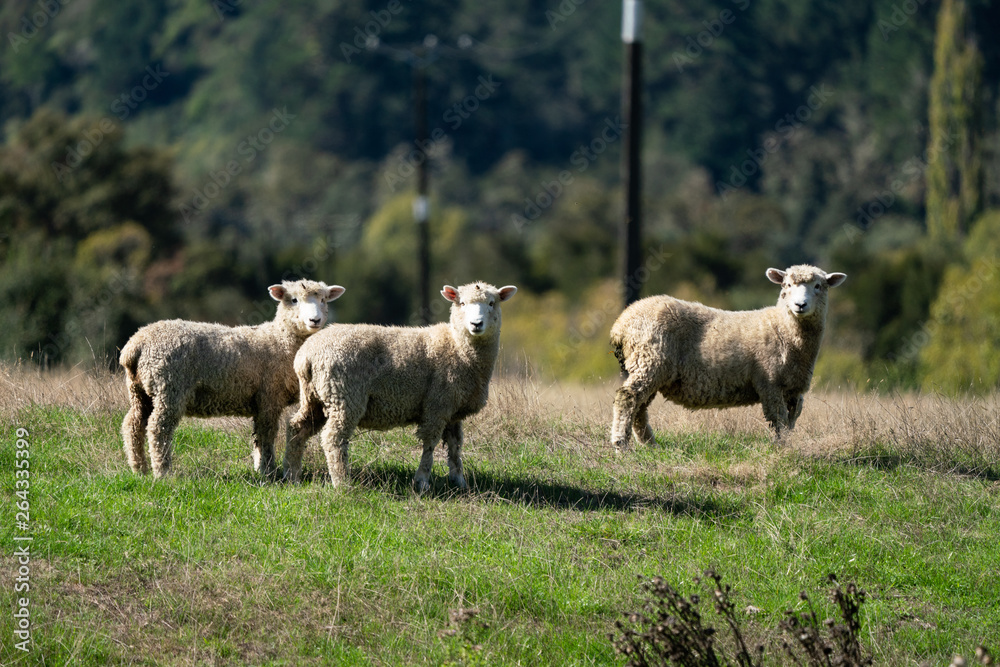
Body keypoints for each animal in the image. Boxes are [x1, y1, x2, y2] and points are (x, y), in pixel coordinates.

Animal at [120, 279, 345, 478]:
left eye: (323, 300)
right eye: (294, 300)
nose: (314, 320)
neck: (279, 340)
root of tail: (134, 345)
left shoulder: (261, 401)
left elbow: (258, 436)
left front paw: (259, 468)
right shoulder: (269, 397)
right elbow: (267, 435)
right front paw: (269, 471)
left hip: (141, 390)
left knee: (132, 424)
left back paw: (139, 469)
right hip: (169, 388)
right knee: (158, 428)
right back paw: (163, 472)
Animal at [283, 282, 517, 492]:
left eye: (492, 303)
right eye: (462, 303)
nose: (476, 324)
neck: (457, 347)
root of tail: (306, 355)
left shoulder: (453, 408)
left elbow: (455, 445)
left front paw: (459, 481)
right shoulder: (437, 405)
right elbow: (430, 444)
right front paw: (422, 481)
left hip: (314, 397)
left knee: (297, 427)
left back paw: (292, 475)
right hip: (345, 396)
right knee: (333, 439)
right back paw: (342, 483)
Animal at [610, 265, 846, 448]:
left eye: (818, 286)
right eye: (786, 285)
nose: (800, 305)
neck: (782, 328)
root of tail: (621, 323)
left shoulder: (794, 388)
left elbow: (791, 420)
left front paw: (787, 444)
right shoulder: (770, 383)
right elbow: (778, 420)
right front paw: (781, 448)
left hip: (650, 367)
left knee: (640, 406)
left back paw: (649, 444)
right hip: (650, 360)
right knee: (627, 398)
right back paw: (621, 444)